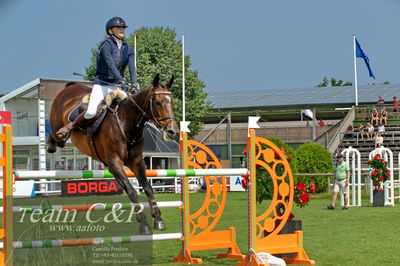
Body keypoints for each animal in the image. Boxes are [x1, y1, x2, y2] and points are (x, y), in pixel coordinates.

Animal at [46, 74, 179, 234]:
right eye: (158, 103)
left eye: (172, 102)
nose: (172, 131)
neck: (125, 123)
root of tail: (69, 87)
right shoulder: (114, 163)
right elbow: (131, 190)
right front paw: (143, 223)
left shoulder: (137, 161)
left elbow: (147, 187)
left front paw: (158, 219)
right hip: (57, 127)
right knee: (56, 135)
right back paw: (54, 141)